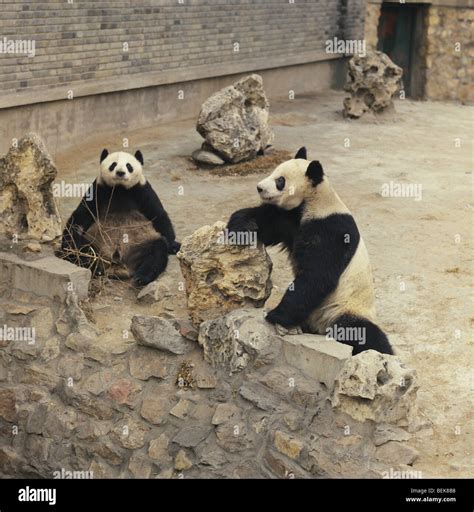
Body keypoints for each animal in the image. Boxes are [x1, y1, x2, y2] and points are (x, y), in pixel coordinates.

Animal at [57, 149, 180, 288]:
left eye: (128, 166)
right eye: (113, 164)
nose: (120, 172)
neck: (119, 189)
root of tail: (118, 265)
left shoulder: (142, 190)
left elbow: (158, 214)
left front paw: (173, 245)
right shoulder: (98, 190)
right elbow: (80, 216)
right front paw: (68, 244)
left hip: (140, 244)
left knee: (156, 252)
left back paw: (142, 278)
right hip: (96, 242)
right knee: (86, 249)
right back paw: (94, 267)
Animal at [226, 146, 392, 354]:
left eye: (280, 180)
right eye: (273, 172)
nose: (259, 187)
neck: (315, 201)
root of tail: (318, 328)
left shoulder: (331, 230)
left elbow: (317, 276)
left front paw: (276, 315)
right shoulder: (291, 218)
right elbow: (268, 223)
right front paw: (243, 225)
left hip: (343, 307)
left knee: (362, 333)